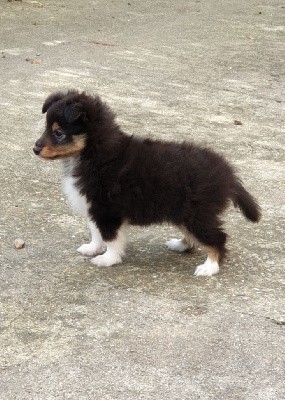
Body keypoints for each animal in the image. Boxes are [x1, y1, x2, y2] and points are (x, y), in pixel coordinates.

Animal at [33, 90, 260, 276]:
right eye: (46, 128)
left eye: (58, 133)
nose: (34, 149)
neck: (93, 153)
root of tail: (228, 175)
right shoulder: (94, 208)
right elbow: (96, 232)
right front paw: (92, 249)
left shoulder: (107, 209)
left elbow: (110, 237)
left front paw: (108, 259)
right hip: (184, 213)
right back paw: (181, 245)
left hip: (197, 213)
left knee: (217, 238)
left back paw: (209, 267)